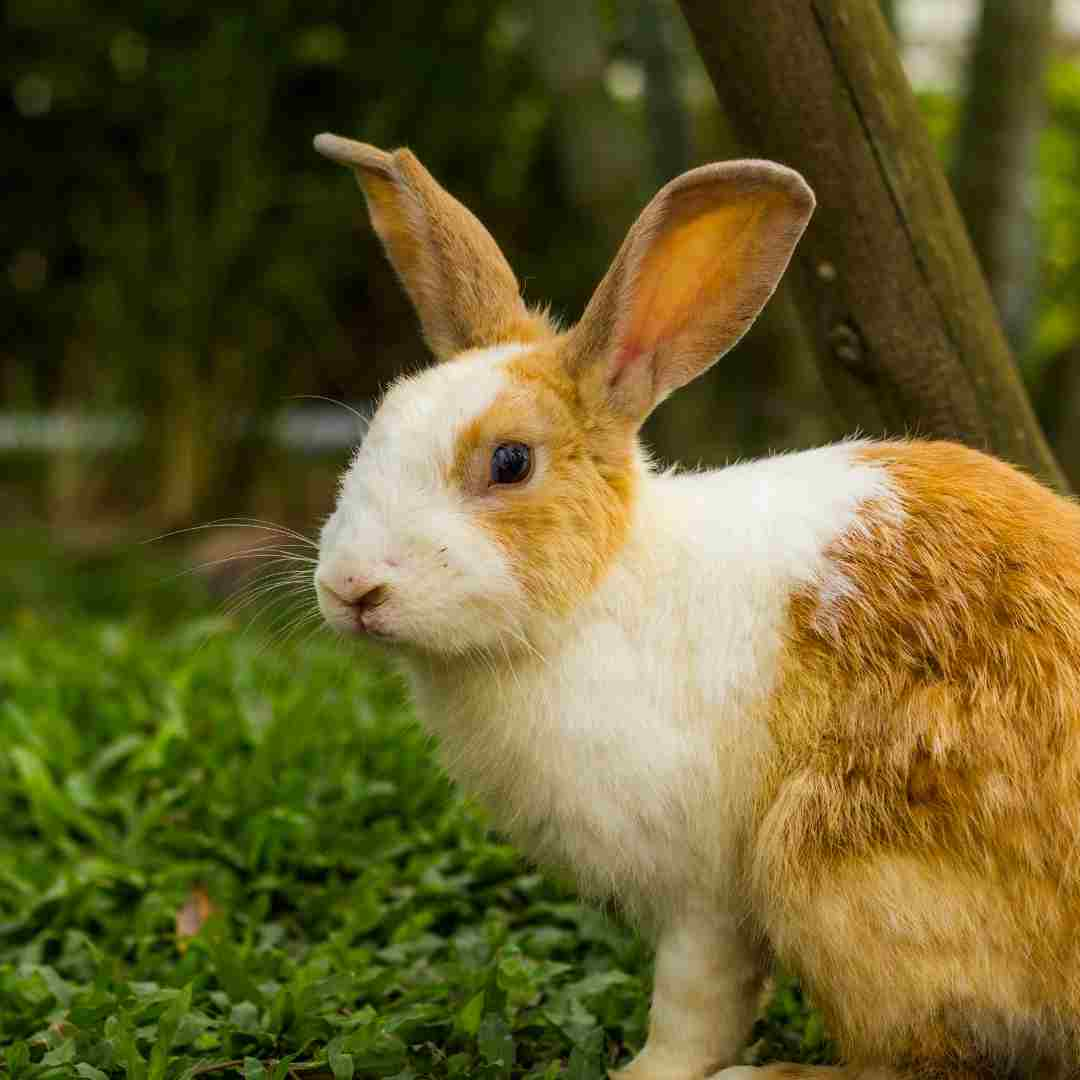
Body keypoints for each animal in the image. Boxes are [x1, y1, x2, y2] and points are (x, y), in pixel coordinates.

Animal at [308, 132, 1080, 1080]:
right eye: (378, 426)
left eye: (510, 462)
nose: (351, 588)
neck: (596, 593)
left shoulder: (704, 897)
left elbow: (694, 1007)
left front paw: (642, 1075)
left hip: (838, 876)